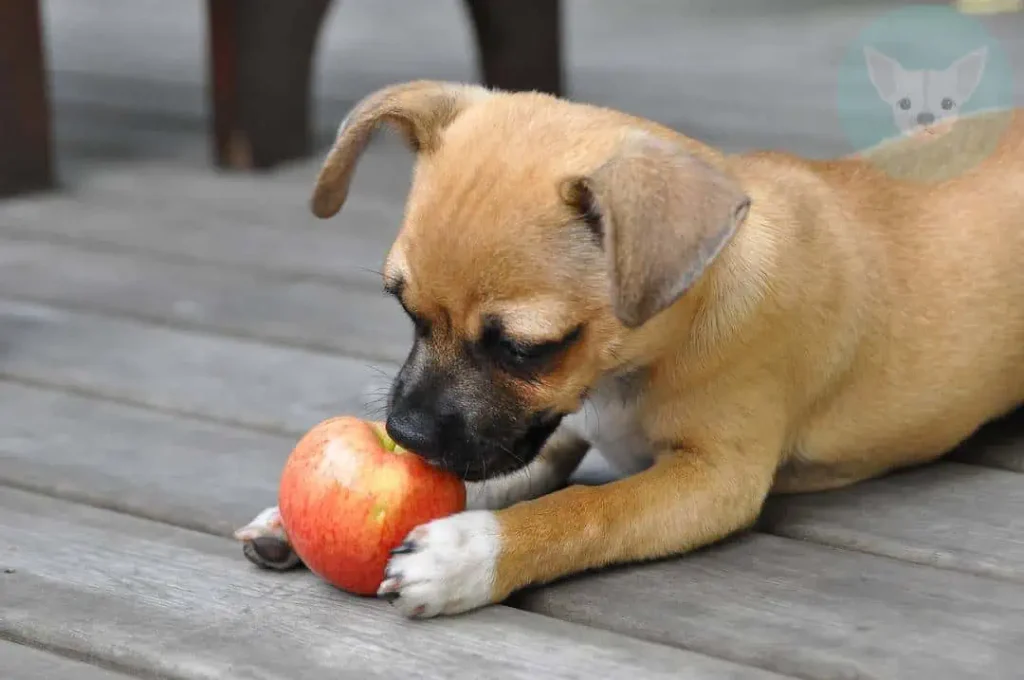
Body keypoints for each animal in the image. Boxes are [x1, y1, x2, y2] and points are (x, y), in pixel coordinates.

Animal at [235, 80, 1024, 622]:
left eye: (525, 349)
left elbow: (591, 509)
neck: (639, 361)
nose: (404, 433)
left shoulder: (713, 481)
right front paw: (289, 522)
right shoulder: (546, 436)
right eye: (402, 307)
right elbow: (491, 477)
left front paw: (470, 553)